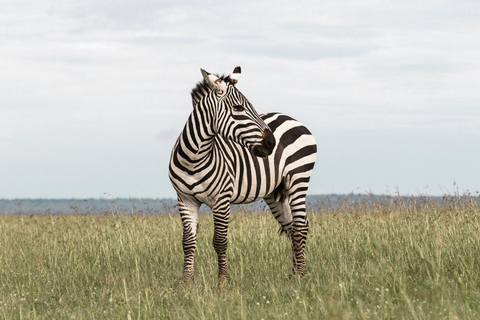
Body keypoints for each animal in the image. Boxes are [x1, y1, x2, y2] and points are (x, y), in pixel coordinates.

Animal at [167, 66, 316, 282]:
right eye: (238, 108)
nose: (271, 143)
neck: (194, 159)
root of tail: (289, 118)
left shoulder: (221, 199)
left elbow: (220, 241)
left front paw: (223, 281)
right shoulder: (185, 200)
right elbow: (188, 242)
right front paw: (187, 281)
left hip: (298, 179)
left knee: (300, 228)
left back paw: (302, 275)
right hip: (275, 192)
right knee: (291, 227)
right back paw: (294, 273)